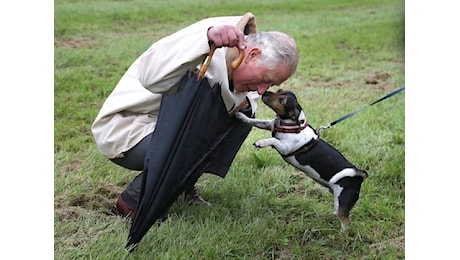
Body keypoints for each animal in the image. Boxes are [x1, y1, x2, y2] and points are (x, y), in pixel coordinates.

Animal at [235, 90, 368, 232]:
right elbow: (256, 121)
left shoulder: (285, 147)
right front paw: (242, 116)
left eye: (282, 101)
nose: (265, 92)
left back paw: (342, 234)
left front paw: (261, 142)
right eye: (279, 91)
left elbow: (273, 140)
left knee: (346, 222)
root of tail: (359, 175)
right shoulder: (269, 125)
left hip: (342, 202)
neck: (289, 124)